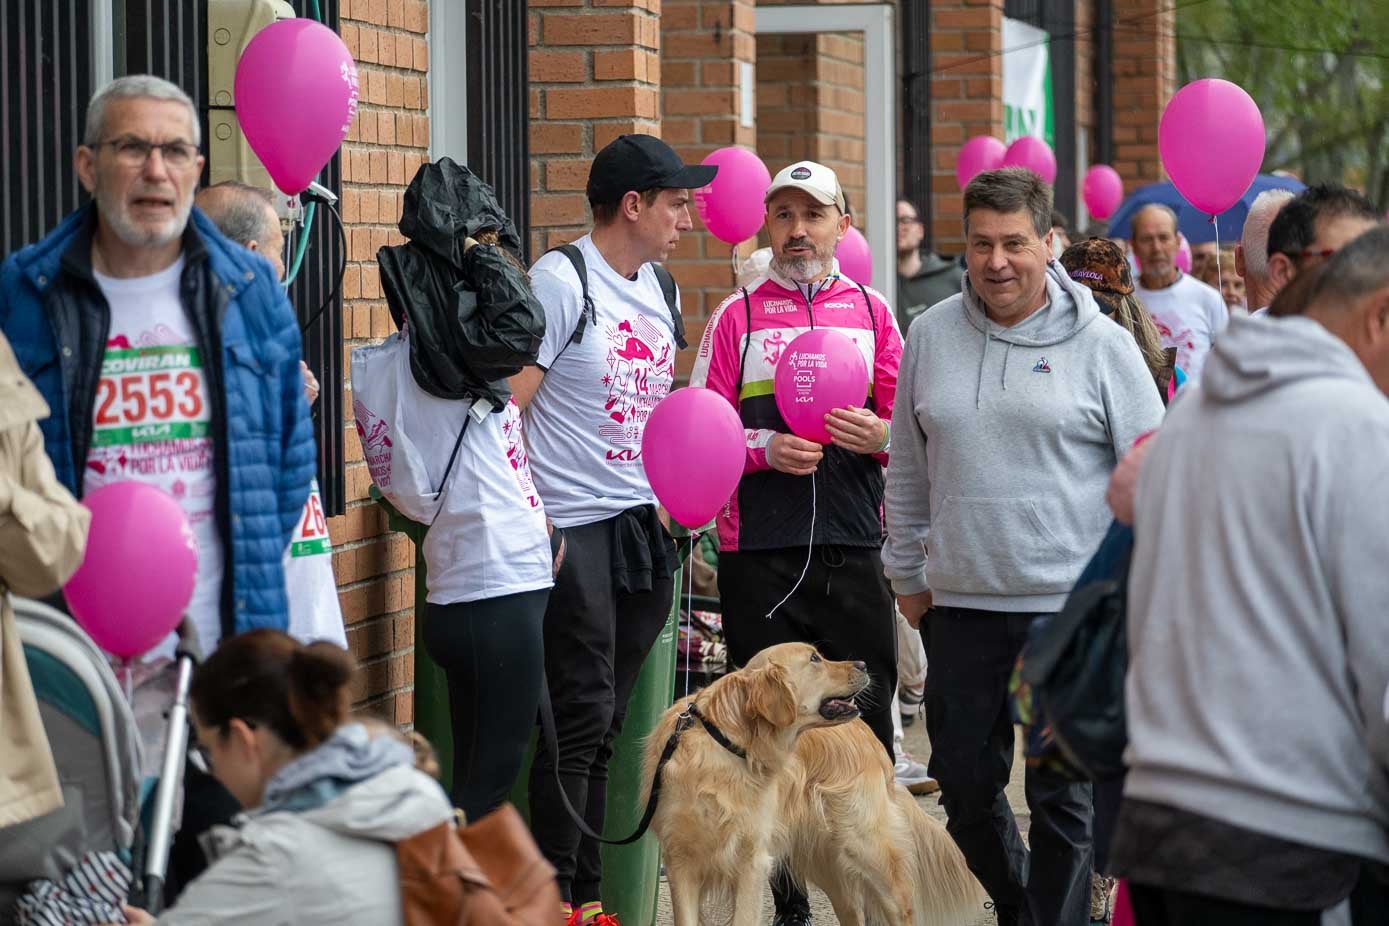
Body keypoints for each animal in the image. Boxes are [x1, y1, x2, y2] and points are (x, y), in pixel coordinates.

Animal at [638, 644, 977, 926]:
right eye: (815, 658)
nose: (863, 663)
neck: (726, 741)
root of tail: (871, 737)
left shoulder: (751, 859)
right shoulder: (680, 860)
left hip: (866, 846)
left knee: (902, 906)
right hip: (827, 861)